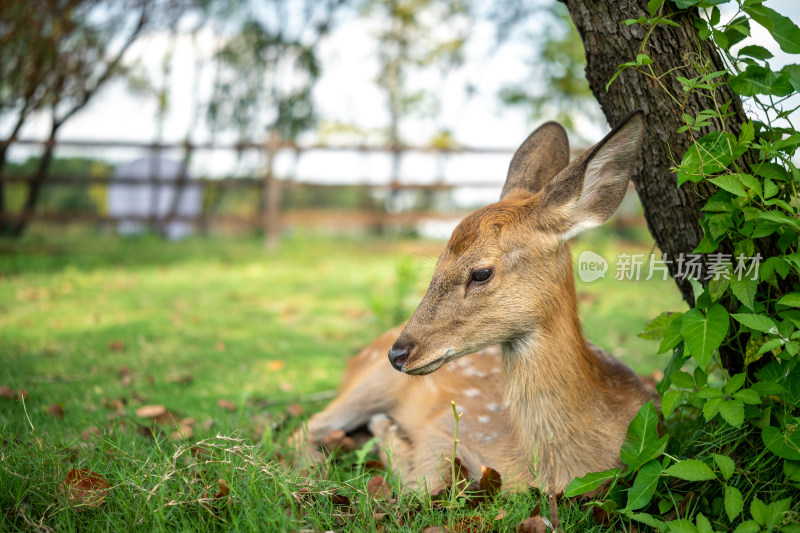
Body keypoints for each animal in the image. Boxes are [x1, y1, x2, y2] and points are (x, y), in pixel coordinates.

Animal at [294, 110, 656, 492]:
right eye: (438, 262)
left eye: (481, 273)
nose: (399, 353)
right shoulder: (447, 423)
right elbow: (428, 481)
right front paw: (387, 429)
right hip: (371, 383)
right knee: (308, 426)